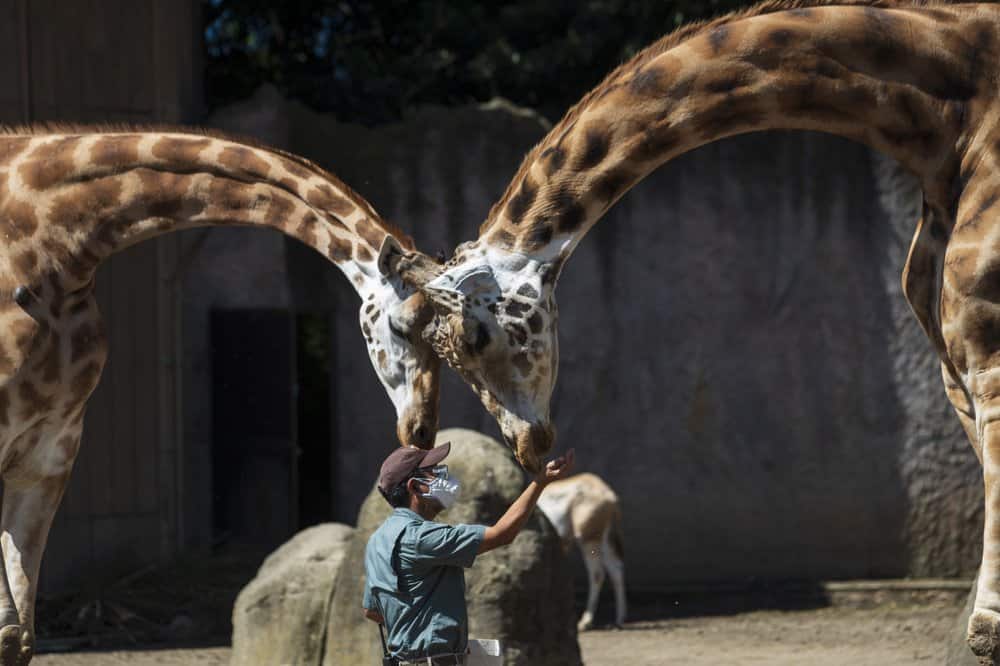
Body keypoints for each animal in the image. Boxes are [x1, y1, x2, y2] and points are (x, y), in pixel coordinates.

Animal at [535, 473, 626, 631]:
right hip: (604, 538)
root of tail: (609, 496)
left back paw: (585, 622)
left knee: (597, 573)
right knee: (615, 569)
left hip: (588, 539)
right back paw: (618, 621)